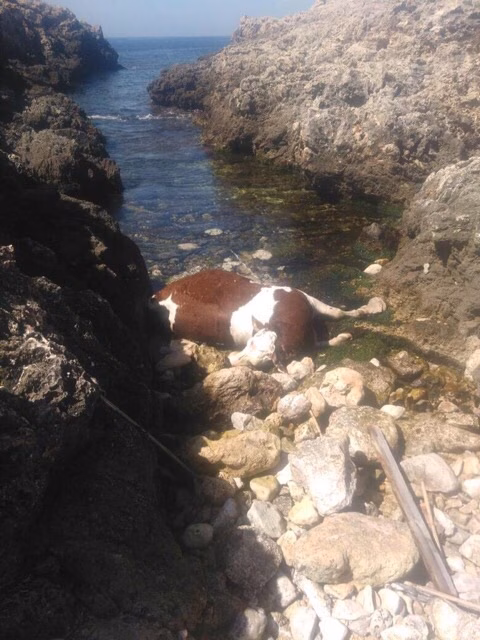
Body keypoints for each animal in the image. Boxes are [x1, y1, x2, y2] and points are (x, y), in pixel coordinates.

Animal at [151, 269, 386, 367]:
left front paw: (372, 307)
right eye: (246, 347)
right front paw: (344, 336)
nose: (228, 360)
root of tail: (160, 293)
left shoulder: (304, 297)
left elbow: (338, 313)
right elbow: (326, 336)